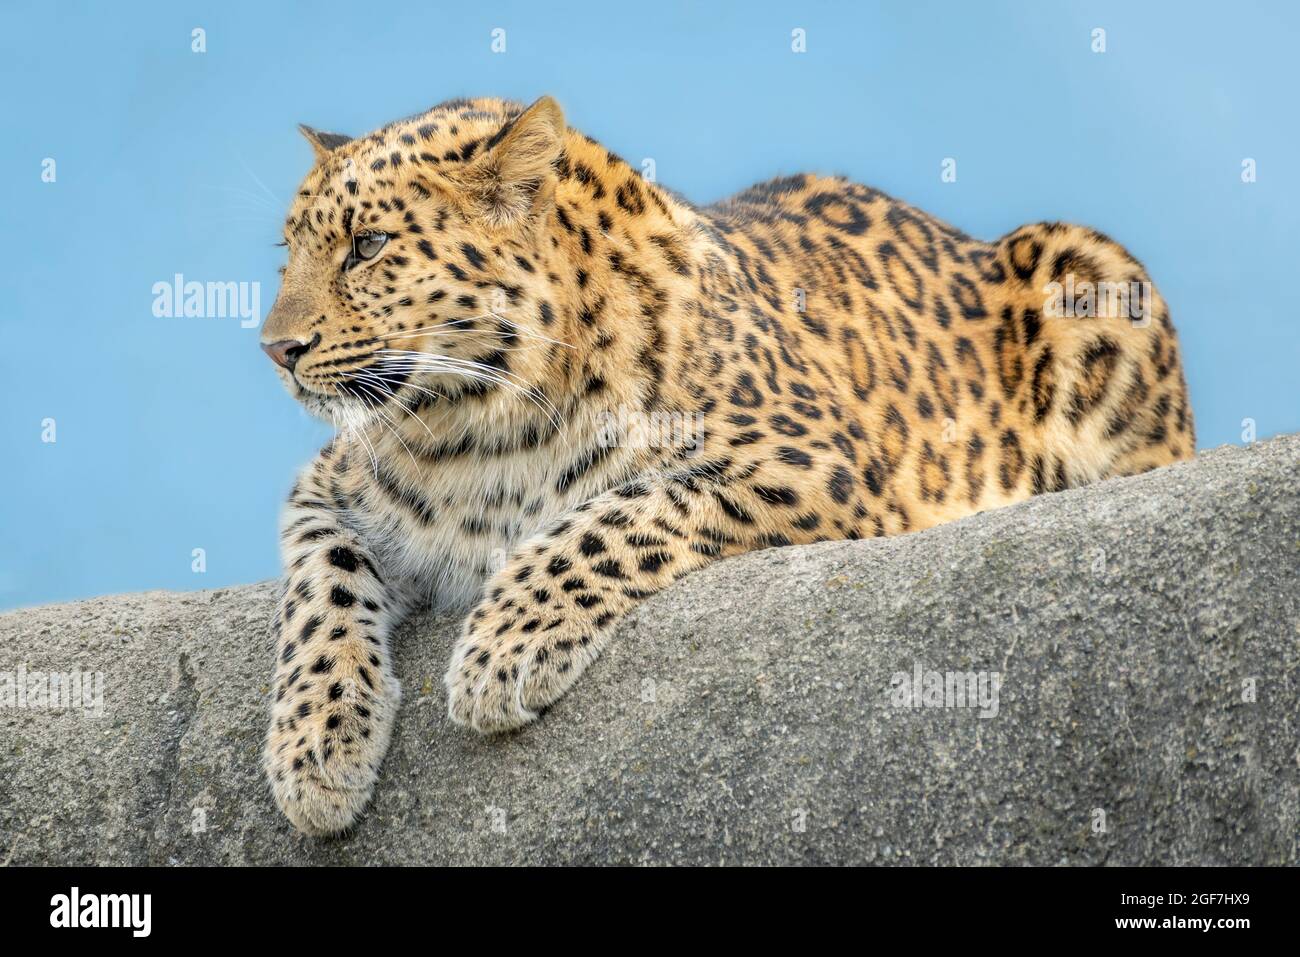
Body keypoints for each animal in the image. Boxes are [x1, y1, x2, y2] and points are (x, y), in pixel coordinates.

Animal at [256, 93, 1196, 832]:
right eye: (290, 254)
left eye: (370, 244)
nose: (276, 349)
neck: (466, 428)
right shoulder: (324, 490)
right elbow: (320, 590)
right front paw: (314, 749)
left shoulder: (817, 466)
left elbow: (608, 516)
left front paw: (501, 651)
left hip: (1089, 264)